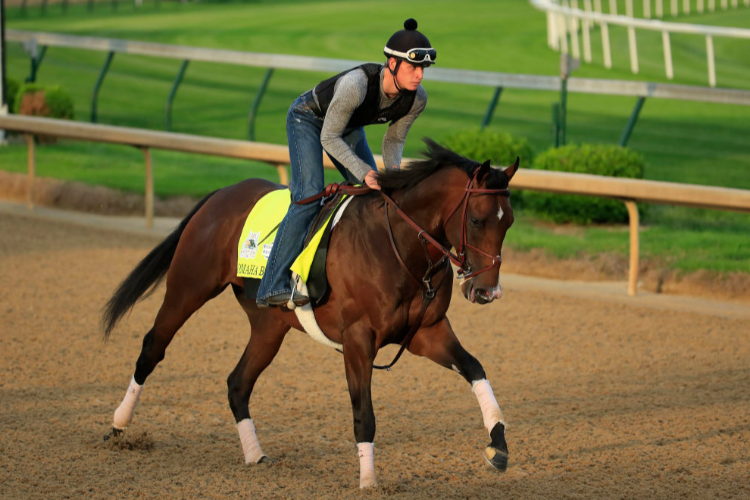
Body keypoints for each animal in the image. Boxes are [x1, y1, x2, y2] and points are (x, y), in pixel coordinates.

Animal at [103, 140, 520, 488]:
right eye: (476, 220)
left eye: (509, 222)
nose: (487, 291)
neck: (398, 246)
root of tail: (220, 193)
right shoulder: (358, 340)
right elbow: (364, 413)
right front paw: (368, 480)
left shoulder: (426, 331)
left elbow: (475, 368)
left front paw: (497, 444)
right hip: (188, 288)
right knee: (153, 347)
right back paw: (119, 425)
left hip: (269, 326)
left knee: (238, 383)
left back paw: (255, 455)